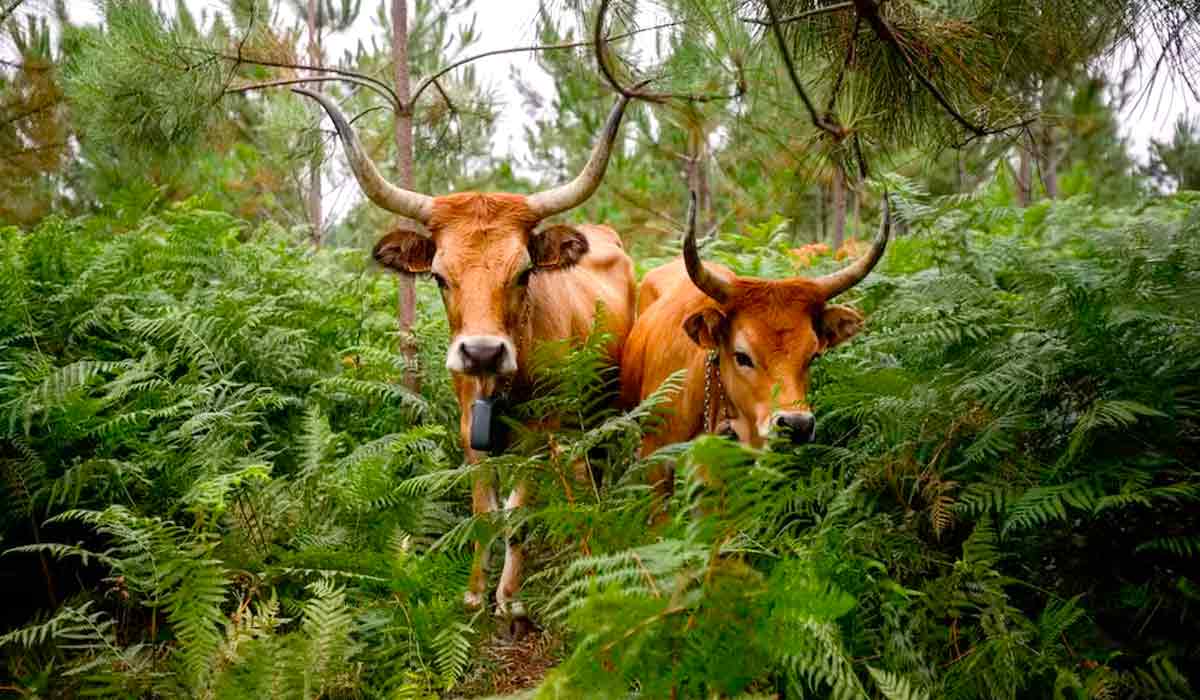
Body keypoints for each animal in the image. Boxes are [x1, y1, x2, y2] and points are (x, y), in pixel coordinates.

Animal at [295, 89, 637, 624]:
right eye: (439, 276)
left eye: (523, 273)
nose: (481, 351)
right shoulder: (468, 433)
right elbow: (483, 512)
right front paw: (476, 592)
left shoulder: (536, 436)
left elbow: (517, 514)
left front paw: (509, 597)